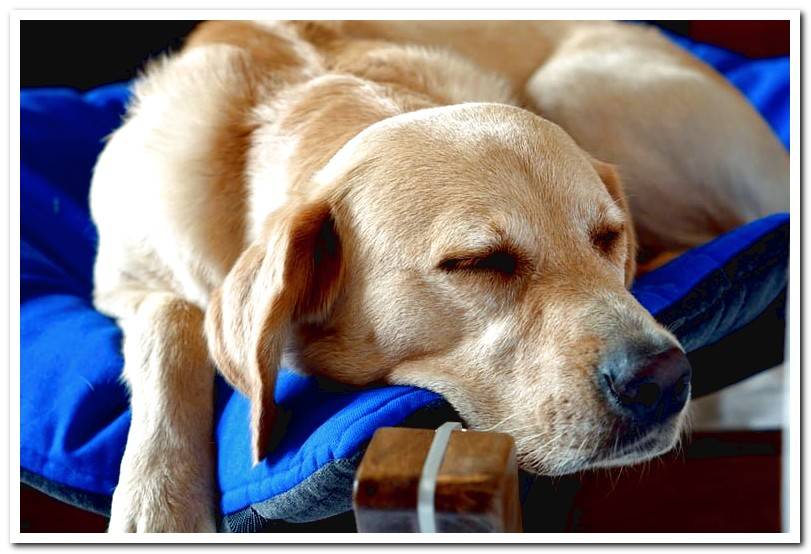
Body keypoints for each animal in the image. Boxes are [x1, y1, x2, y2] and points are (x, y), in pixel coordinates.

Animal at [89, 20, 788, 532]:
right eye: (479, 262)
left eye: (607, 239)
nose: (666, 379)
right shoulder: (119, 277)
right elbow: (171, 325)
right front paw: (159, 502)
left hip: (576, 84)